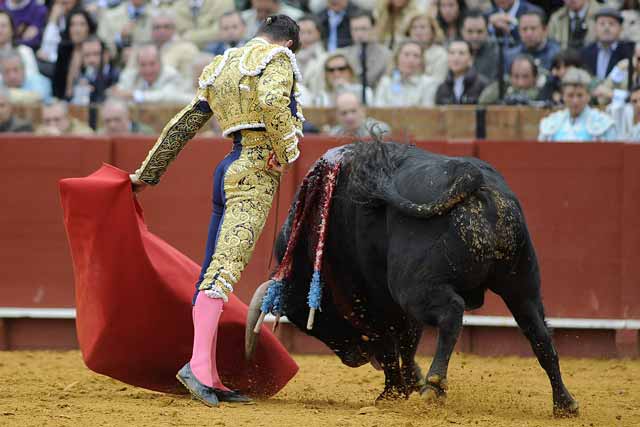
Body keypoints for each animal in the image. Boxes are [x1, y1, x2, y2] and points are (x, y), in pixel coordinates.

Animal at [245, 142, 580, 416]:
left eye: (308, 319)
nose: (353, 359)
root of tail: (472, 177)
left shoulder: (376, 302)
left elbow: (390, 345)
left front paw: (393, 393)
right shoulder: (395, 309)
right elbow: (406, 343)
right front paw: (407, 385)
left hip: (414, 288)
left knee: (451, 314)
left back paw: (434, 386)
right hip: (522, 284)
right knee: (539, 334)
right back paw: (564, 404)